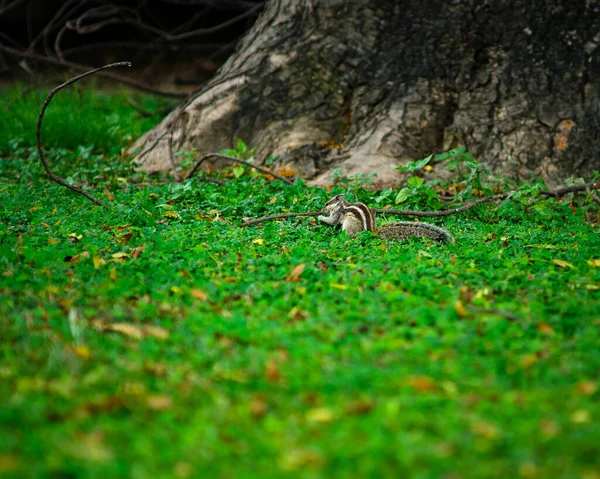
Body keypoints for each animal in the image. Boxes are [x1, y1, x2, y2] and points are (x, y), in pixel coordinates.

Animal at [316, 194, 452, 244]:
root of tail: (371, 231)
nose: (321, 210)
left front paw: (320, 217)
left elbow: (332, 221)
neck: (342, 205)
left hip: (350, 223)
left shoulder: (337, 214)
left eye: (327, 204)